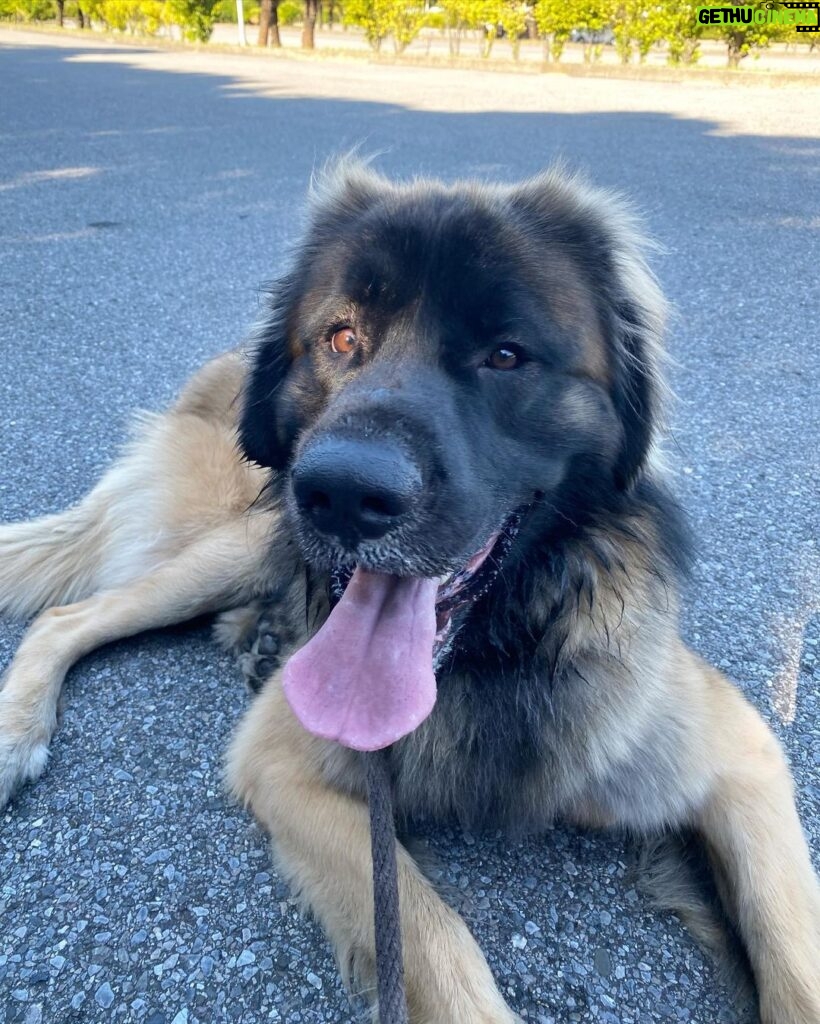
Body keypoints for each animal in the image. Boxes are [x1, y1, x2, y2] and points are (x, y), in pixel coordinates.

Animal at [1, 163, 818, 1019]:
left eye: (505, 354)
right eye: (341, 337)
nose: (342, 494)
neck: (497, 653)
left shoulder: (743, 764)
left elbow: (792, 959)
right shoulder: (283, 765)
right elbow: (431, 934)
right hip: (239, 544)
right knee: (69, 615)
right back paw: (19, 735)